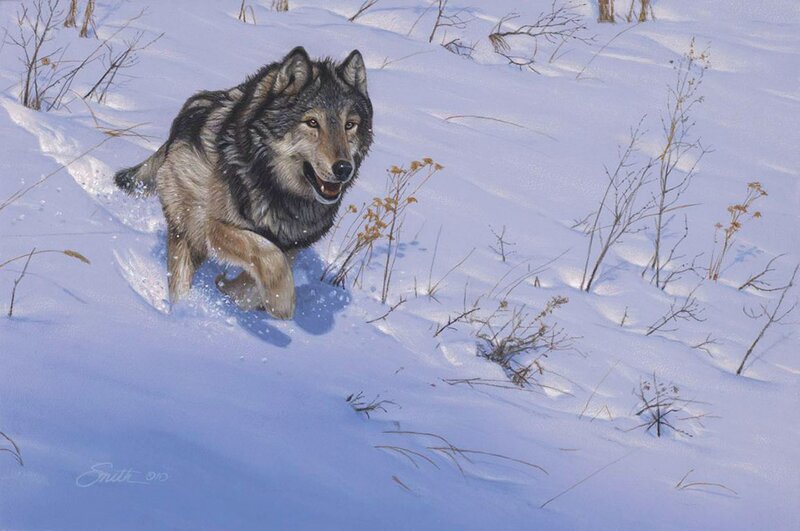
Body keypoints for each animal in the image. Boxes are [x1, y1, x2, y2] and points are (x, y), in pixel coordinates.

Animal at [114, 47, 373, 319]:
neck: (277, 189)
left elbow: (254, 285)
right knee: (180, 281)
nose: (343, 168)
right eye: (312, 122)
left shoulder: (293, 245)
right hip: (187, 230)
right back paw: (181, 314)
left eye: (349, 125)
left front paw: (229, 291)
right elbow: (269, 255)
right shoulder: (214, 226)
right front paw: (281, 304)